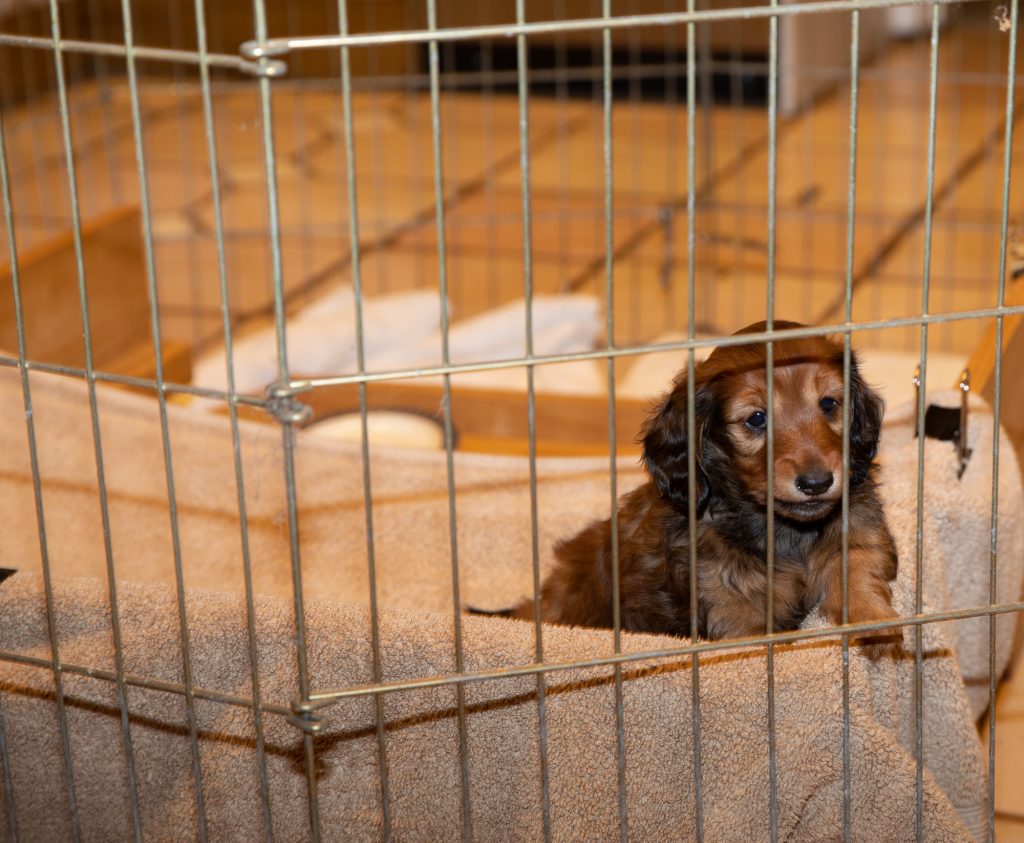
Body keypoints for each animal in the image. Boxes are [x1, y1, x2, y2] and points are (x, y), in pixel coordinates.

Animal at [509, 319, 897, 655]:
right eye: (757, 418)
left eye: (829, 403)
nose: (817, 483)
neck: (785, 533)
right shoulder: (731, 605)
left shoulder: (857, 530)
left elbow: (859, 569)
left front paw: (876, 625)